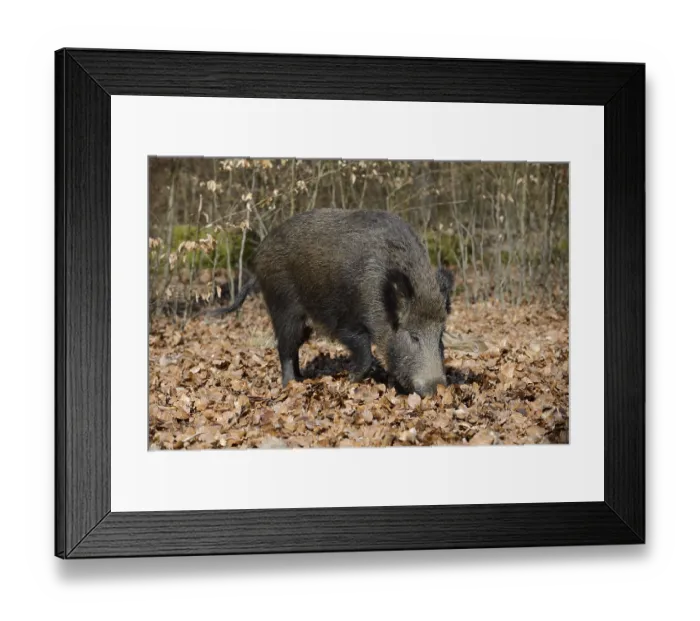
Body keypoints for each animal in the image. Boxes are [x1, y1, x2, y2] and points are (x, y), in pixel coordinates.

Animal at [210, 208, 454, 396]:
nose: (439, 389)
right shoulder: (346, 322)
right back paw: (292, 384)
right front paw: (351, 379)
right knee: (284, 347)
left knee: (294, 347)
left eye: (440, 335)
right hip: (283, 307)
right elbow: (364, 354)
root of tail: (258, 258)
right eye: (413, 336)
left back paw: (302, 378)